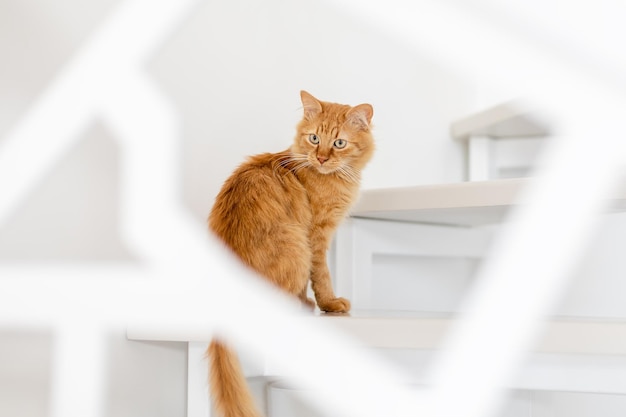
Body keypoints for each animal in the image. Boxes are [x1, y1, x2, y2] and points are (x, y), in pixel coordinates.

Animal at [205, 89, 372, 414]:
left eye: (339, 143)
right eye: (314, 138)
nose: (321, 158)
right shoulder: (316, 236)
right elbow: (321, 277)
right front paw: (329, 304)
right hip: (296, 246)